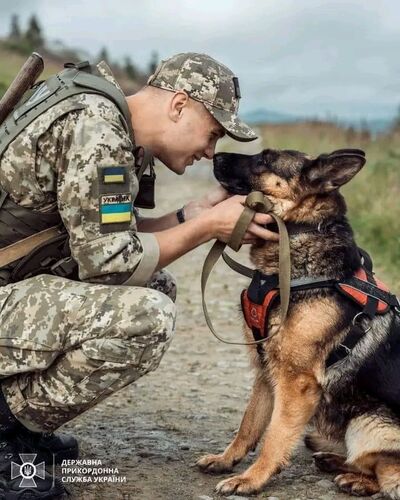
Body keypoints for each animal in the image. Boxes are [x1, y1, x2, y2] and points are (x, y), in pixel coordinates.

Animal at [196, 148, 400, 498]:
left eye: (264, 160)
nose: (216, 154)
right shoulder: (266, 372)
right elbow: (248, 425)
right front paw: (226, 460)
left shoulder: (296, 383)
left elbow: (275, 436)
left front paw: (252, 479)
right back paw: (334, 462)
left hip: (369, 422)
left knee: (388, 474)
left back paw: (356, 480)